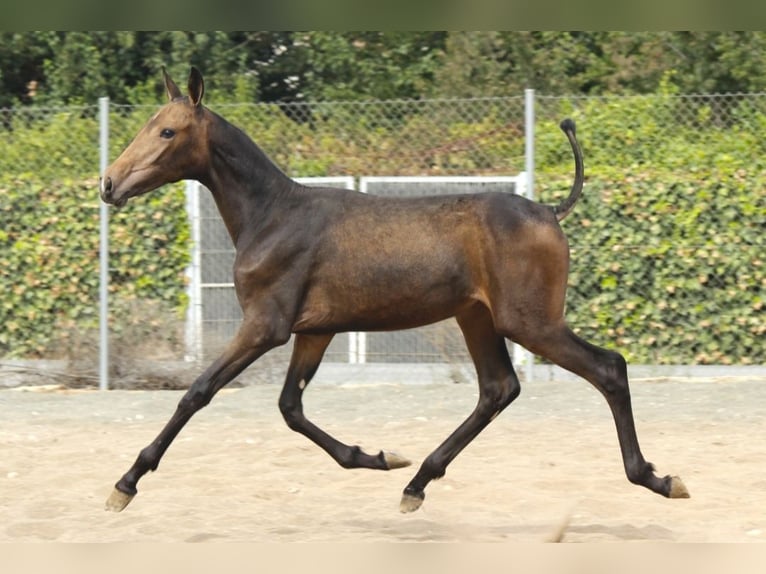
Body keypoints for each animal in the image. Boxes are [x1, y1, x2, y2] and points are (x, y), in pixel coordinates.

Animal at [100, 66, 689, 513]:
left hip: (531, 321)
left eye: (167, 132)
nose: (108, 184)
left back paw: (657, 479)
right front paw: (379, 457)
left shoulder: (265, 326)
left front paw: (125, 483)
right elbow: (291, 407)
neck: (273, 215)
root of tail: (548, 210)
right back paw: (416, 482)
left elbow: (197, 392)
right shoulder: (315, 331)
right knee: (498, 388)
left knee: (608, 368)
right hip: (478, 318)